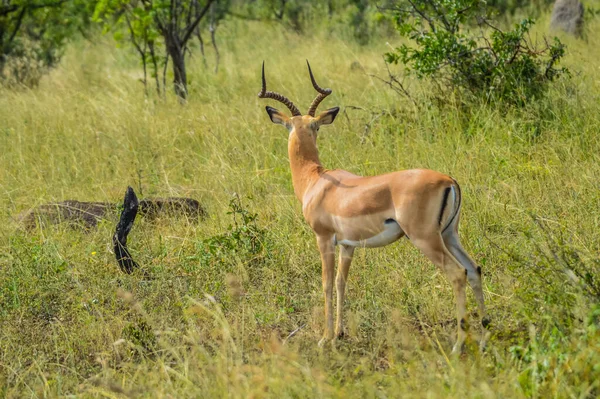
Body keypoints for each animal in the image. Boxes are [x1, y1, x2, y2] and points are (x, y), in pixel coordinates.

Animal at [256, 61, 488, 354]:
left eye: (314, 126)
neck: (316, 179)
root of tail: (449, 180)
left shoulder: (324, 238)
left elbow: (326, 284)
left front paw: (324, 338)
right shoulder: (348, 245)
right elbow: (341, 283)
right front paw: (339, 333)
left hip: (425, 239)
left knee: (457, 274)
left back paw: (458, 345)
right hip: (449, 235)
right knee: (474, 269)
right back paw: (484, 338)